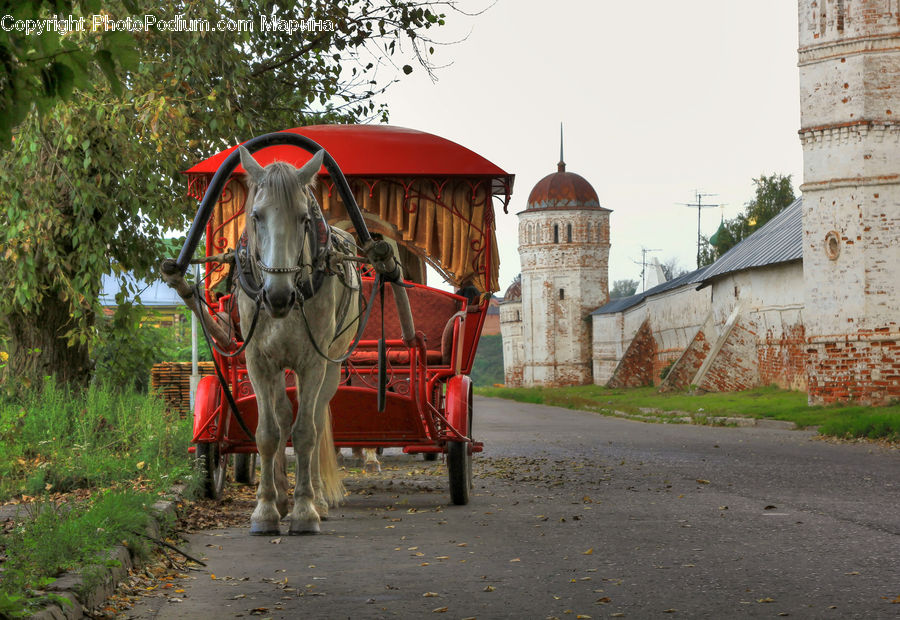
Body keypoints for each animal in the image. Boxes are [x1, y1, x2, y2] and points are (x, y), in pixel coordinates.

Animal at [239, 145, 358, 532]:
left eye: (304, 218)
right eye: (257, 216)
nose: (278, 296)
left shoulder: (313, 363)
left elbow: (306, 433)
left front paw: (305, 510)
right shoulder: (259, 363)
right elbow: (267, 433)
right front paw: (265, 509)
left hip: (331, 366)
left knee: (317, 420)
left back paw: (316, 498)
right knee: (281, 416)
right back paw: (280, 494)